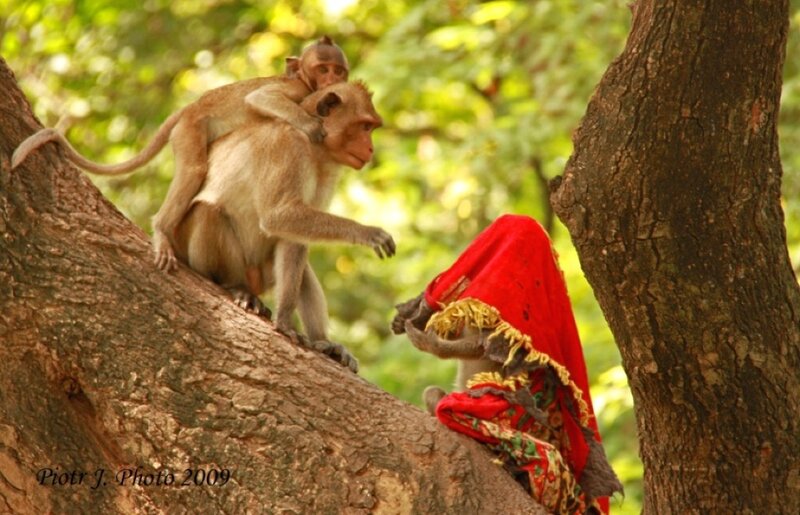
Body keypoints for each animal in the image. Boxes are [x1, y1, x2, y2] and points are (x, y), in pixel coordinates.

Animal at [11, 35, 350, 272]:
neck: (304, 80)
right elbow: (260, 98)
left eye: (338, 70)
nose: (333, 80)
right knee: (194, 170)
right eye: (323, 69)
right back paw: (162, 230)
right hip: (189, 131)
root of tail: (188, 109)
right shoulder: (299, 92)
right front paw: (311, 126)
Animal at [172, 81, 393, 372]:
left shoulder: (327, 172)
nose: (370, 149)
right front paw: (366, 232)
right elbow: (277, 217)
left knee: (301, 266)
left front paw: (286, 320)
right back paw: (235, 287)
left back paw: (325, 343)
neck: (315, 151)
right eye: (365, 127)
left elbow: (293, 236)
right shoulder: (287, 146)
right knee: (208, 212)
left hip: (264, 274)